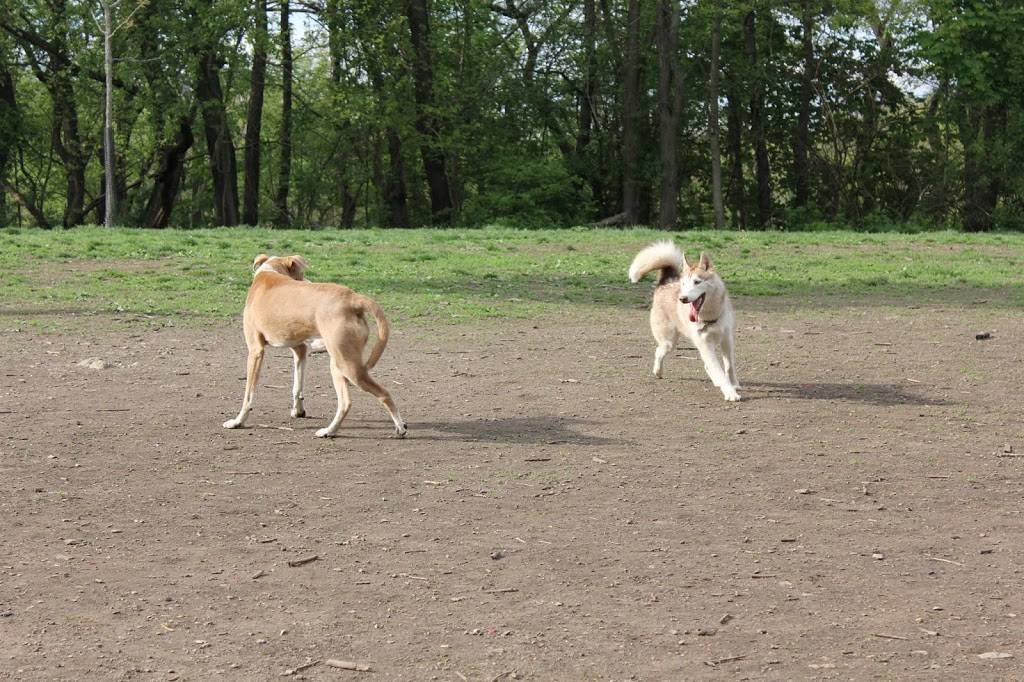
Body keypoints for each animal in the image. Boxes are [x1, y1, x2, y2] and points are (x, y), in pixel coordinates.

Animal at [222, 253, 405, 436]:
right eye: (301, 274)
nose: (308, 282)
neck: (269, 271)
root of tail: (353, 298)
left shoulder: (255, 351)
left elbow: (248, 394)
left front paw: (238, 421)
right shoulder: (300, 349)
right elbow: (297, 386)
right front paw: (298, 411)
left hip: (347, 366)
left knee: (375, 395)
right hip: (338, 365)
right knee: (345, 402)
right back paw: (331, 430)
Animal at [626, 238, 741, 399]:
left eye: (697, 282)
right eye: (684, 284)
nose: (683, 298)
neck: (710, 315)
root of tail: (666, 282)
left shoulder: (726, 339)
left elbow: (729, 366)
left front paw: (734, 384)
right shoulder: (705, 344)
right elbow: (718, 370)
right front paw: (730, 392)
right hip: (669, 342)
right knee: (659, 351)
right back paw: (658, 371)